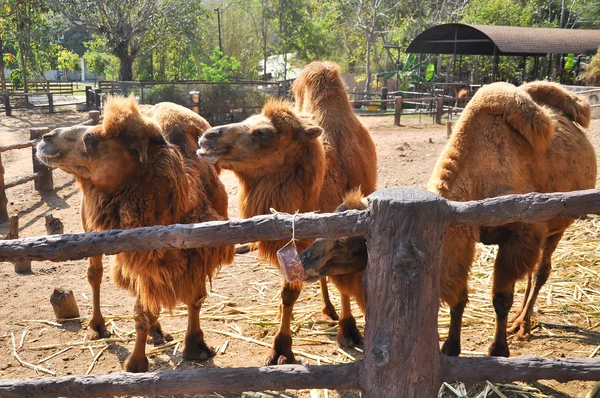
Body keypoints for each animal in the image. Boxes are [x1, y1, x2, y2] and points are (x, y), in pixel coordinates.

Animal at [36, 98, 236, 372]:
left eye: (90, 138)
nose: (46, 138)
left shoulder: (197, 256)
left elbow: (195, 297)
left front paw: (196, 347)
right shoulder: (145, 257)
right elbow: (143, 311)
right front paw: (136, 363)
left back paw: (157, 332)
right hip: (90, 227)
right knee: (95, 274)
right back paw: (98, 327)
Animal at [197, 61, 376, 364]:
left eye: (262, 133)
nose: (208, 136)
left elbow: (341, 283)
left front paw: (349, 331)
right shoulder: (296, 246)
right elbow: (288, 294)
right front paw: (281, 347)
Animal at [302, 81, 596, 358]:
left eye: (354, 243)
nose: (306, 257)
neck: (478, 178)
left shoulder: (519, 235)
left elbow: (501, 298)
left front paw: (498, 350)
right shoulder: (464, 237)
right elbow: (459, 299)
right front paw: (450, 347)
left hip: (558, 225)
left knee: (541, 272)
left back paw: (522, 325)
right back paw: (519, 321)